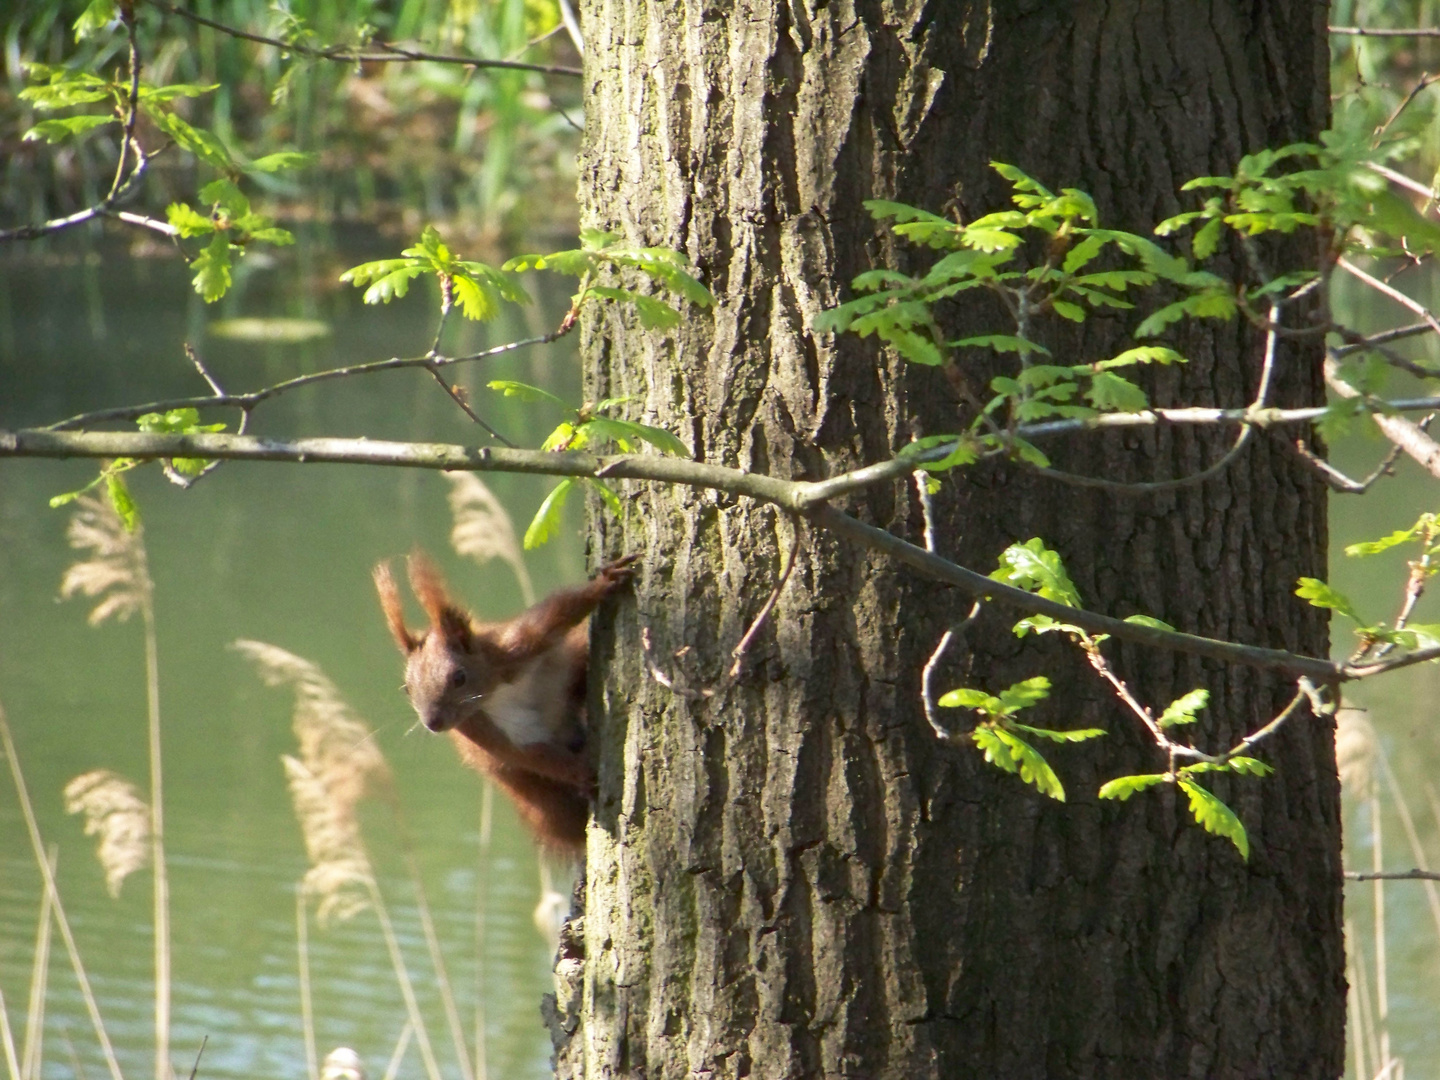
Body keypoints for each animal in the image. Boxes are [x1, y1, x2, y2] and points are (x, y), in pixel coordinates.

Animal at [377, 552, 636, 852]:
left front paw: (605, 582)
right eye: (407, 689)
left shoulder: (515, 648)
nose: (433, 723)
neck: (494, 693)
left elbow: (559, 610)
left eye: (459, 677)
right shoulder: (480, 729)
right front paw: (581, 773)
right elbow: (529, 755)